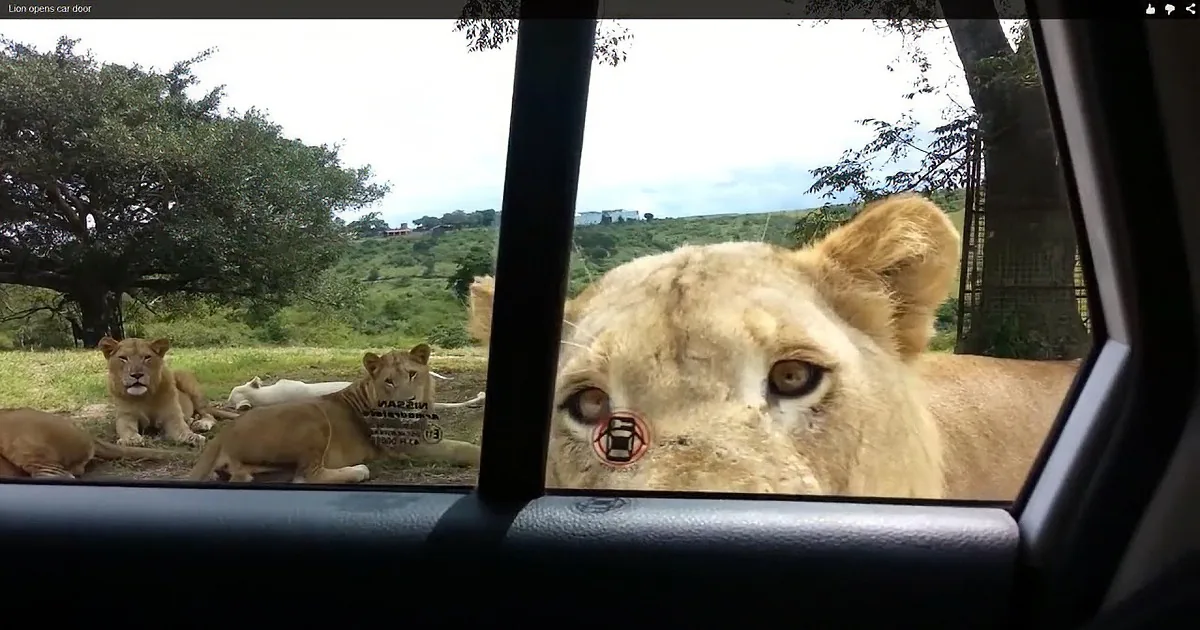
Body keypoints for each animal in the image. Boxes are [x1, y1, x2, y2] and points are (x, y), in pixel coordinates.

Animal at [99, 336, 240, 449]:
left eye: (147, 357)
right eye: (123, 358)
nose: (137, 374)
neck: (144, 397)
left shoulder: (171, 416)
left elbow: (182, 430)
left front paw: (193, 437)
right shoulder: (126, 416)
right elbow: (127, 429)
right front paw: (131, 440)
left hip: (186, 380)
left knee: (208, 414)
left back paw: (201, 424)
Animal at [187, 344, 481, 484]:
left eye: (412, 374)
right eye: (388, 381)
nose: (407, 403)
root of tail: (223, 435)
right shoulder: (407, 447)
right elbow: (460, 448)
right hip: (313, 419)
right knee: (305, 476)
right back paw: (359, 470)